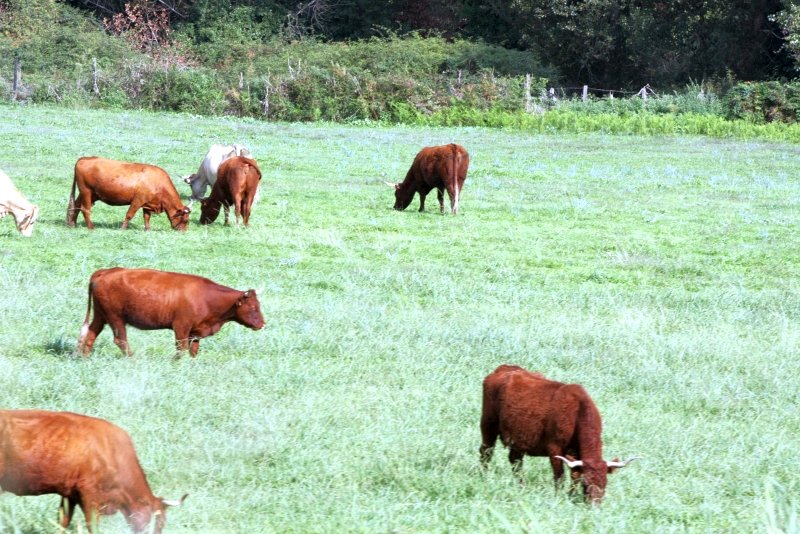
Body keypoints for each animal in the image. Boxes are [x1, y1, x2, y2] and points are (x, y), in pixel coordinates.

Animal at [76, 267, 265, 357]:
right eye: (252, 307)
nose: (263, 324)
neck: (206, 298)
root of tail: (105, 272)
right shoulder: (181, 326)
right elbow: (181, 349)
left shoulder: (195, 331)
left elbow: (193, 350)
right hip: (116, 318)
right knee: (120, 340)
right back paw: (133, 358)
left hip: (101, 315)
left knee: (91, 334)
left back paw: (85, 358)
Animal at [479, 365, 635, 504]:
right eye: (586, 483)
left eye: (605, 482)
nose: (594, 506)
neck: (577, 411)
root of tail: (504, 368)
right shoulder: (554, 448)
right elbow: (560, 476)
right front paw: (559, 497)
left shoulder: (574, 453)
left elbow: (574, 475)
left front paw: (571, 496)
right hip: (488, 425)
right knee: (486, 453)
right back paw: (483, 477)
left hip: (518, 439)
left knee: (515, 460)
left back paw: (521, 486)